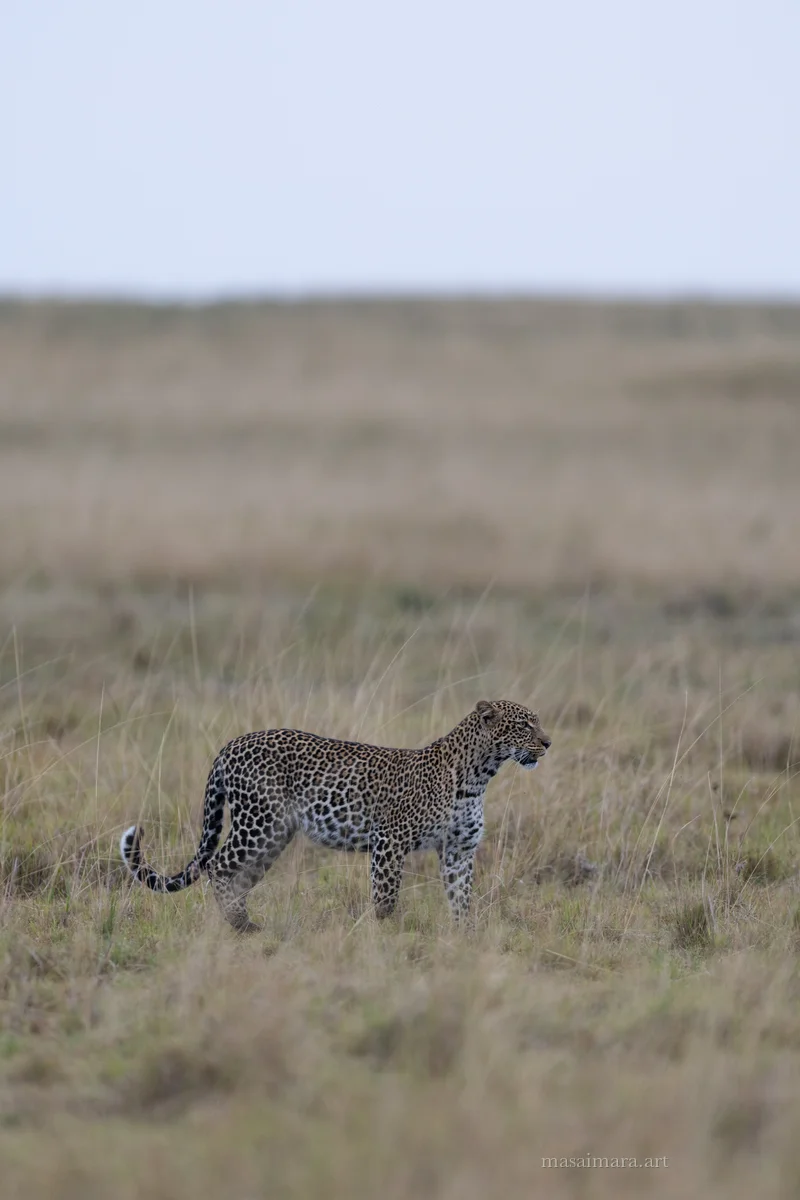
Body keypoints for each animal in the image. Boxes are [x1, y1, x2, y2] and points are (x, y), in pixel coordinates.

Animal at [120, 699, 551, 932]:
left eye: (537, 722)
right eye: (524, 724)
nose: (548, 742)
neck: (479, 776)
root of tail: (232, 743)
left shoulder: (459, 850)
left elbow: (461, 898)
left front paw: (465, 937)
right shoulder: (389, 841)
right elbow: (385, 898)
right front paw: (386, 936)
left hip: (274, 834)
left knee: (237, 874)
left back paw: (245, 926)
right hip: (260, 822)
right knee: (219, 866)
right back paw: (241, 927)